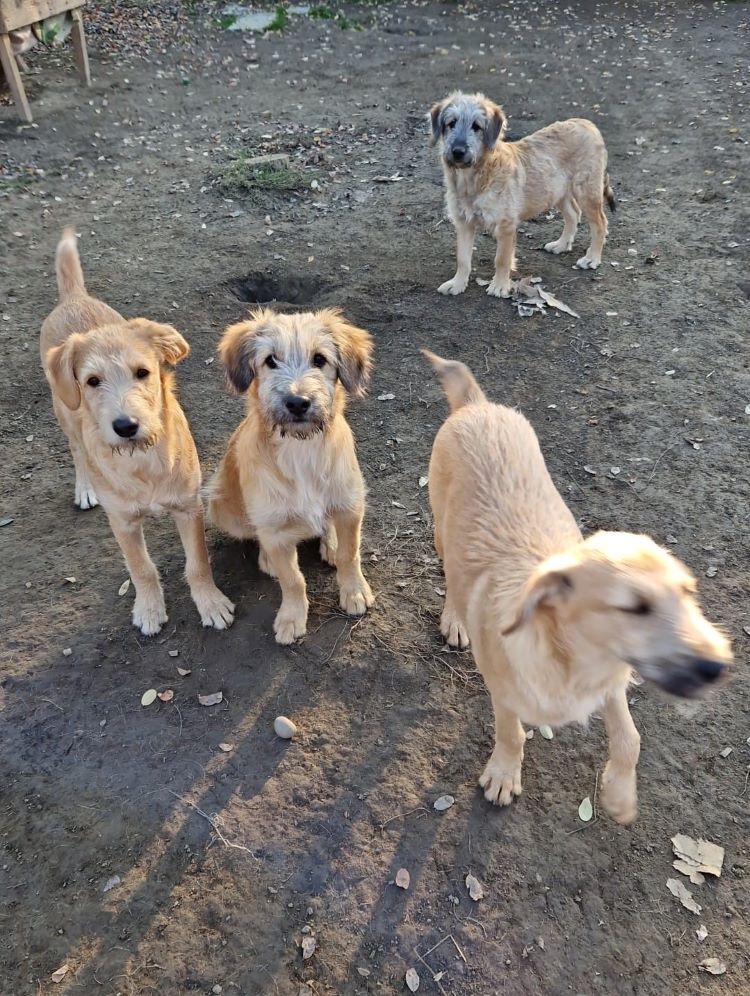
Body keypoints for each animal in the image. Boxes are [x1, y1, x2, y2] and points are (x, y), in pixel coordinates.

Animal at [41, 229, 235, 636]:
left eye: (143, 372)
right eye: (92, 381)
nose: (126, 425)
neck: (143, 459)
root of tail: (74, 298)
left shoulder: (188, 507)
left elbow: (198, 563)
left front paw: (210, 603)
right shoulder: (123, 522)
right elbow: (141, 567)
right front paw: (148, 608)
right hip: (64, 411)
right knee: (77, 451)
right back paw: (84, 487)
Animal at [209, 306, 376, 644]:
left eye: (320, 359)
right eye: (270, 360)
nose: (298, 402)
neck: (301, 448)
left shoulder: (350, 506)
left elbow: (350, 555)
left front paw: (354, 592)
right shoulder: (274, 528)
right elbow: (292, 580)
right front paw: (291, 617)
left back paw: (330, 542)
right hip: (222, 507)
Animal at [428, 91, 616, 298]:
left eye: (476, 126)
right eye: (451, 123)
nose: (458, 151)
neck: (474, 179)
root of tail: (587, 123)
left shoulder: (506, 224)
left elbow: (501, 258)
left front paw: (500, 285)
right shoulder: (464, 223)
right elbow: (463, 258)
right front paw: (457, 283)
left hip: (587, 191)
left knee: (600, 223)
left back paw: (592, 258)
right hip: (557, 191)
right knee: (573, 214)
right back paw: (561, 245)